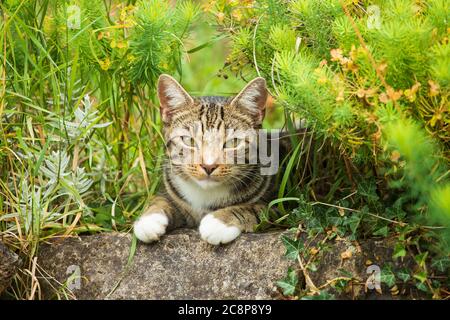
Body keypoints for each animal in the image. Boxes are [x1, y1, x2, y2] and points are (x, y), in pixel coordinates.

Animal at [134, 75, 278, 245]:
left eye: (233, 142)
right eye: (188, 140)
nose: (208, 166)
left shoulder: (279, 207)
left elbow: (254, 208)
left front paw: (219, 221)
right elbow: (160, 199)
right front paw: (149, 219)